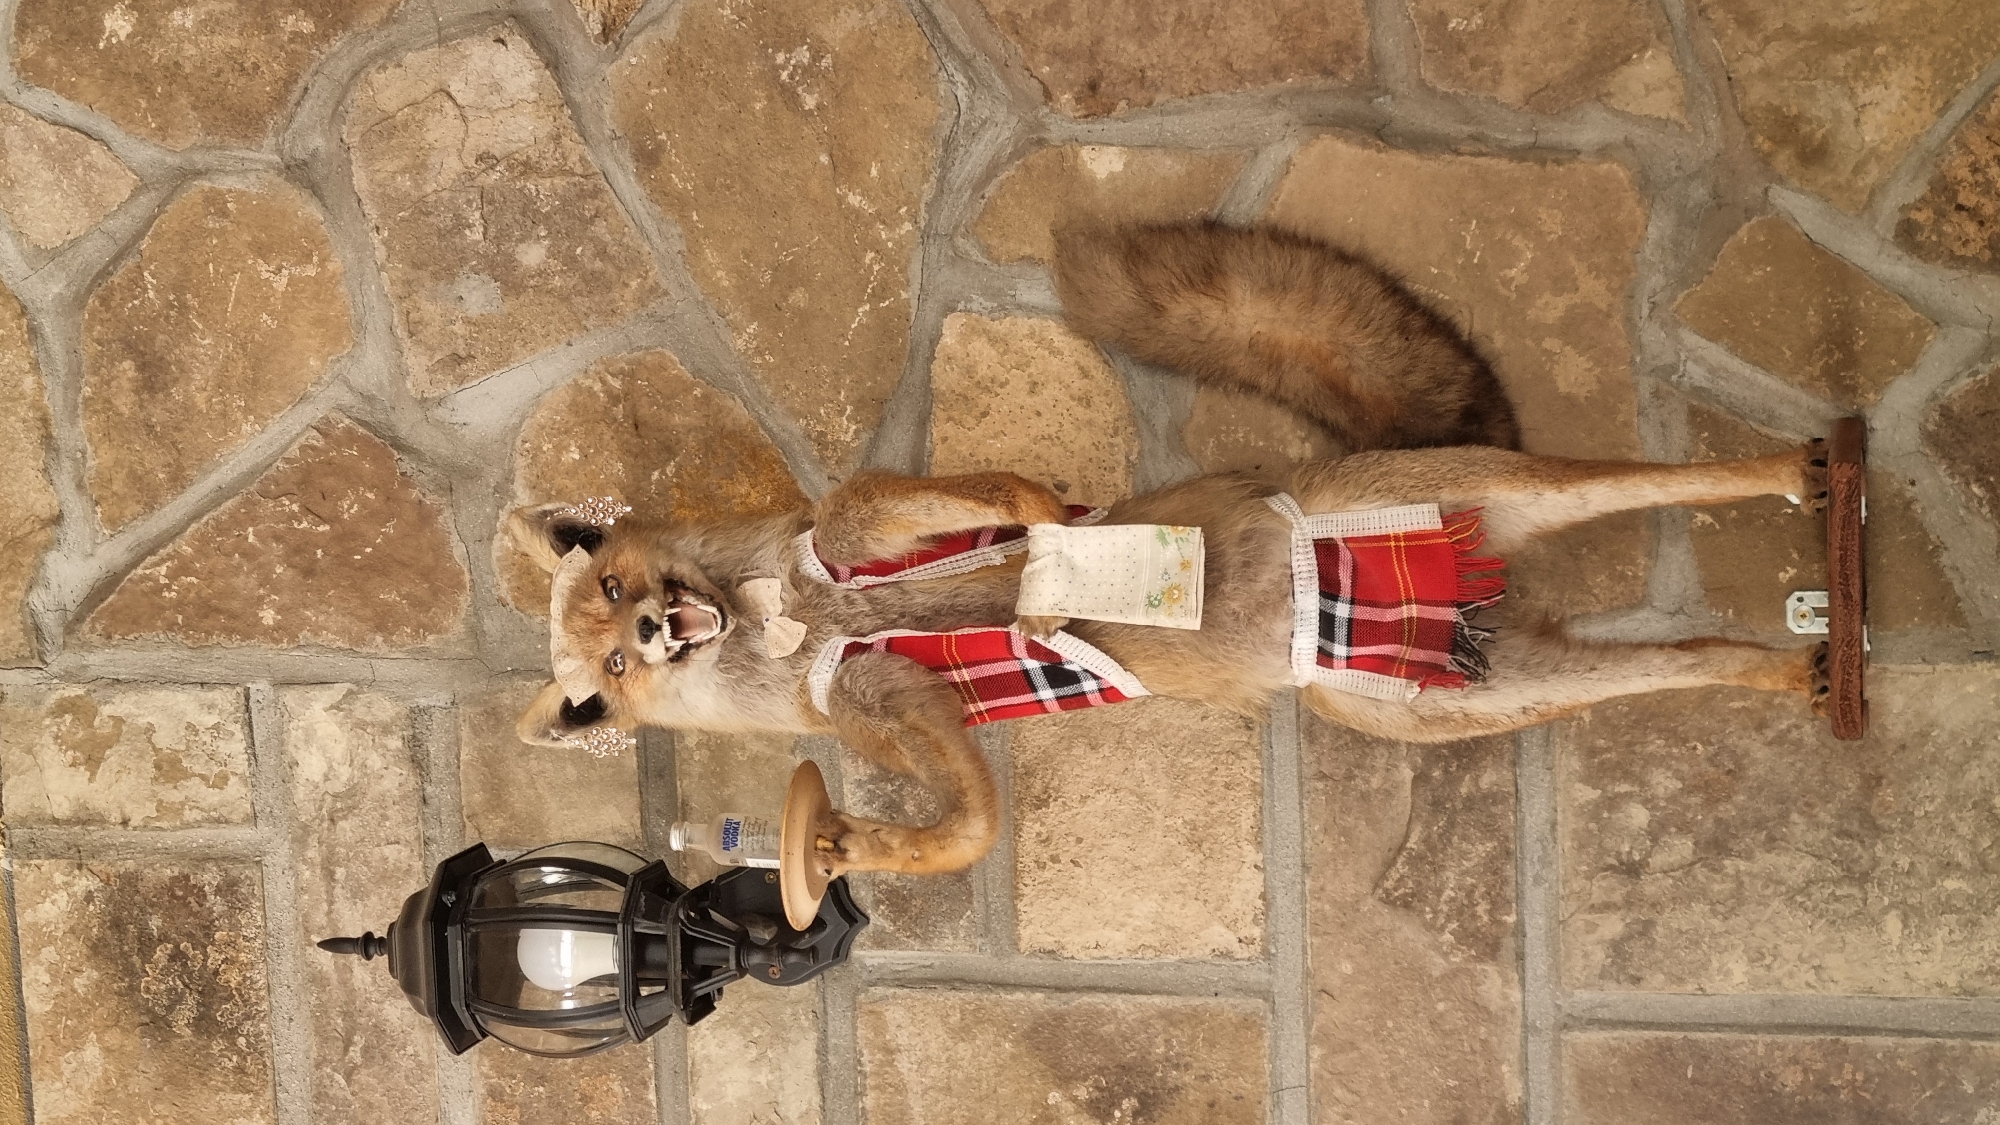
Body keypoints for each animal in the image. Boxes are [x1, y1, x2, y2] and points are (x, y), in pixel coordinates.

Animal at [503, 222, 1830, 882]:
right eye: (608, 667)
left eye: (618, 590)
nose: (657, 629)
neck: (800, 626)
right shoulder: (901, 715)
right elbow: (970, 827)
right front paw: (872, 851)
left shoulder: (852, 536)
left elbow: (962, 502)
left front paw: (1038, 510)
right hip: (1461, 698)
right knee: (1700, 652)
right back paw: (1802, 661)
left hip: (1491, 499)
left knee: (1683, 482)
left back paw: (1808, 471)